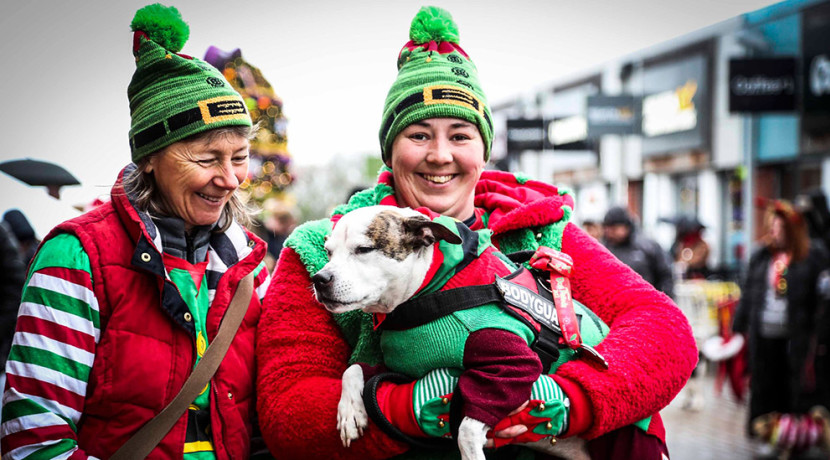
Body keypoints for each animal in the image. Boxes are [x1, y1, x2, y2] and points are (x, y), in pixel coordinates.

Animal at [314, 207, 592, 460]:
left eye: (364, 249)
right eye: (328, 252)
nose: (320, 278)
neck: (429, 287)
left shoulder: (516, 364)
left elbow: (467, 429)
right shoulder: (401, 369)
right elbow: (354, 370)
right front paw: (350, 412)